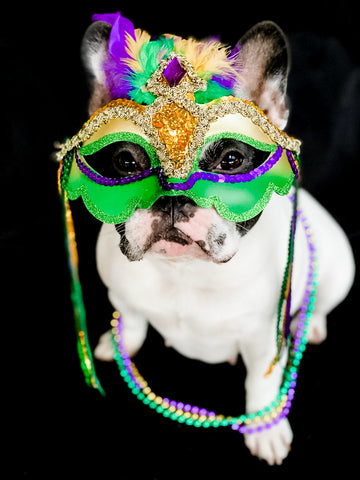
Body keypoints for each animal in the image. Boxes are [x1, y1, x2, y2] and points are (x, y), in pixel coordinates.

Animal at [67, 15, 354, 464]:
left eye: (231, 161)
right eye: (126, 163)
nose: (173, 196)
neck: (185, 272)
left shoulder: (262, 340)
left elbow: (261, 384)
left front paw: (266, 428)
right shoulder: (123, 296)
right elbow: (132, 319)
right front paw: (121, 342)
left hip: (341, 266)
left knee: (322, 300)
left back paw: (314, 324)